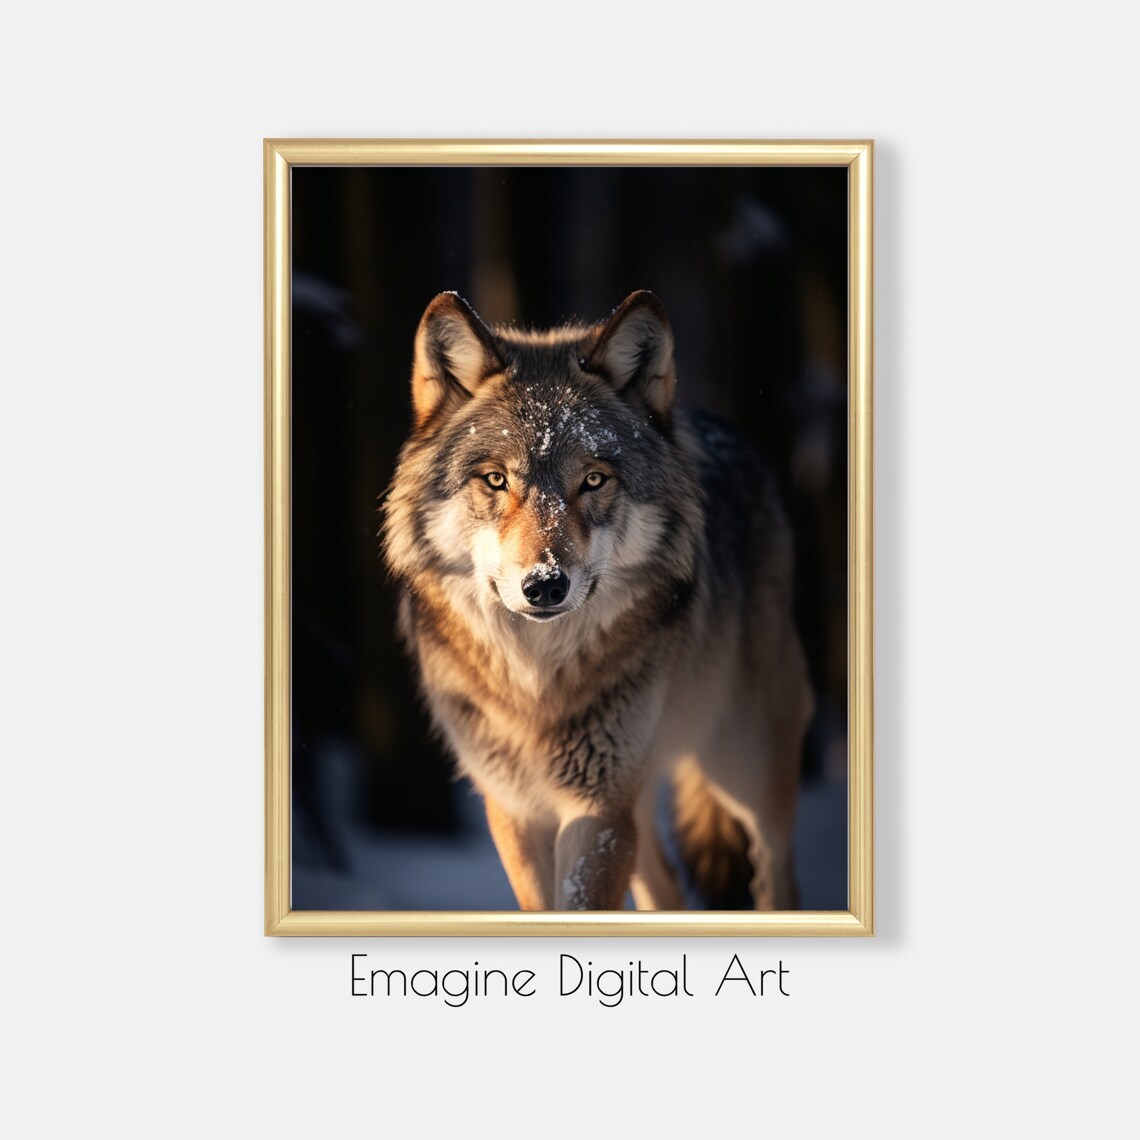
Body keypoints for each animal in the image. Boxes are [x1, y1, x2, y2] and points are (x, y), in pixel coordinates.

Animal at [382, 290, 813, 910]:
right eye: (495, 480)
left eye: (593, 480)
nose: (544, 584)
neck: (538, 682)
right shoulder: (516, 810)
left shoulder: (600, 808)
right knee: (668, 889)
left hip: (743, 772)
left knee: (778, 874)